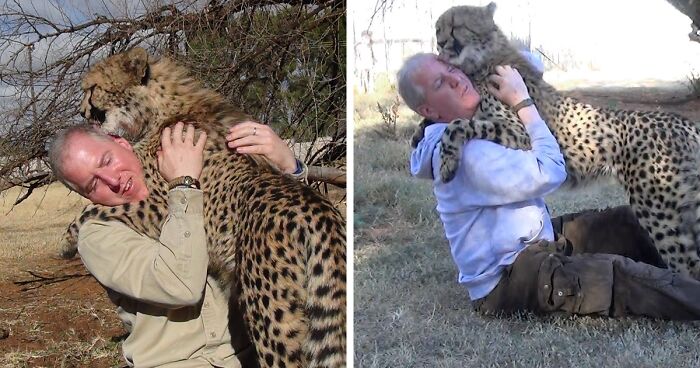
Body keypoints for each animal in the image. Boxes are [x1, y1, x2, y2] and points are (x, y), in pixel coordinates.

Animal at [58, 48, 346, 368]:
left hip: (270, 314)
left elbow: (94, 209)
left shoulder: (157, 203)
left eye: (92, 89)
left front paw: (67, 241)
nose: (81, 112)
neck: (158, 109)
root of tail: (321, 210)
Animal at [426, 2, 700, 278]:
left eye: (456, 26)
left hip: (658, 211)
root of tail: (683, 122)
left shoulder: (519, 133)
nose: (440, 42)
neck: (483, 59)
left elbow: (458, 124)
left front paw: (446, 163)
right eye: (438, 28)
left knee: (687, 265)